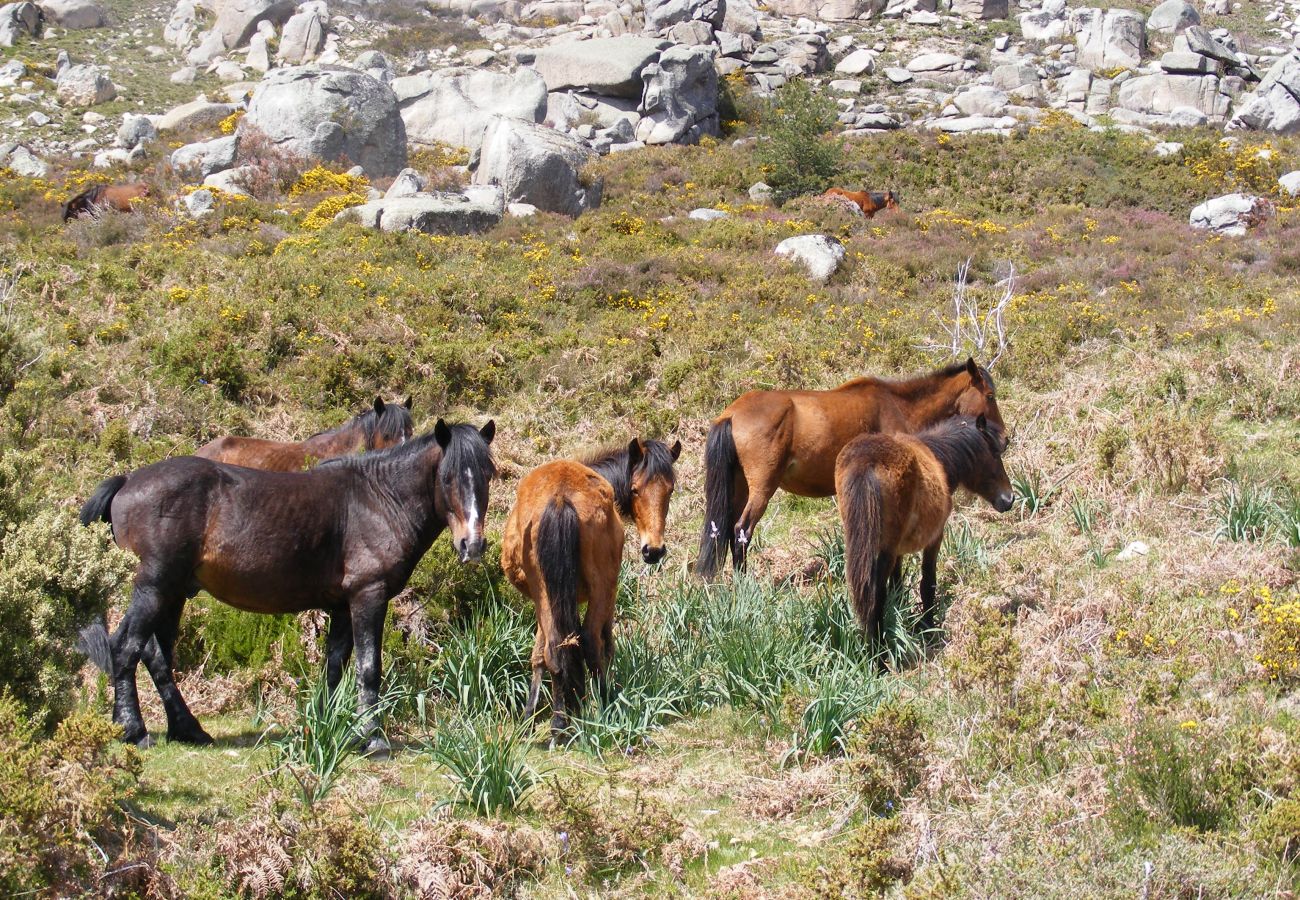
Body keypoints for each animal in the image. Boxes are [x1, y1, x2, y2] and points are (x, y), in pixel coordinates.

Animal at [79, 421, 496, 754]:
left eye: (488, 475)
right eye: (447, 477)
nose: (472, 545)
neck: (379, 500)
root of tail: (128, 481)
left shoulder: (343, 606)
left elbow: (334, 668)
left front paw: (327, 729)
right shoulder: (368, 596)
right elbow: (368, 668)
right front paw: (373, 738)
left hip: (173, 593)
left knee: (156, 655)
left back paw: (186, 730)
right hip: (154, 586)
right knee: (127, 648)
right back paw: (135, 731)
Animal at [496, 439, 681, 733]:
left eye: (670, 490)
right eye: (635, 489)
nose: (653, 550)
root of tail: (561, 497)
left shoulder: (541, 599)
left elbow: (539, 652)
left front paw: (529, 714)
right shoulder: (611, 590)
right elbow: (607, 643)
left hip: (546, 591)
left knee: (556, 647)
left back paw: (559, 720)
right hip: (601, 588)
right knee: (592, 640)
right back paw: (606, 705)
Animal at [696, 358, 1008, 577]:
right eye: (990, 396)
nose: (1004, 439)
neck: (898, 406)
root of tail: (732, 414)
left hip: (739, 487)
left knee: (724, 531)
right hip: (761, 488)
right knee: (741, 532)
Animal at [832, 410, 1013, 650]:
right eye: (994, 453)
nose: (1009, 499)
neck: (939, 459)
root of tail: (866, 461)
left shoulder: (898, 551)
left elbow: (897, 585)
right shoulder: (935, 538)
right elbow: (928, 583)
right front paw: (928, 626)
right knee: (875, 597)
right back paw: (878, 654)